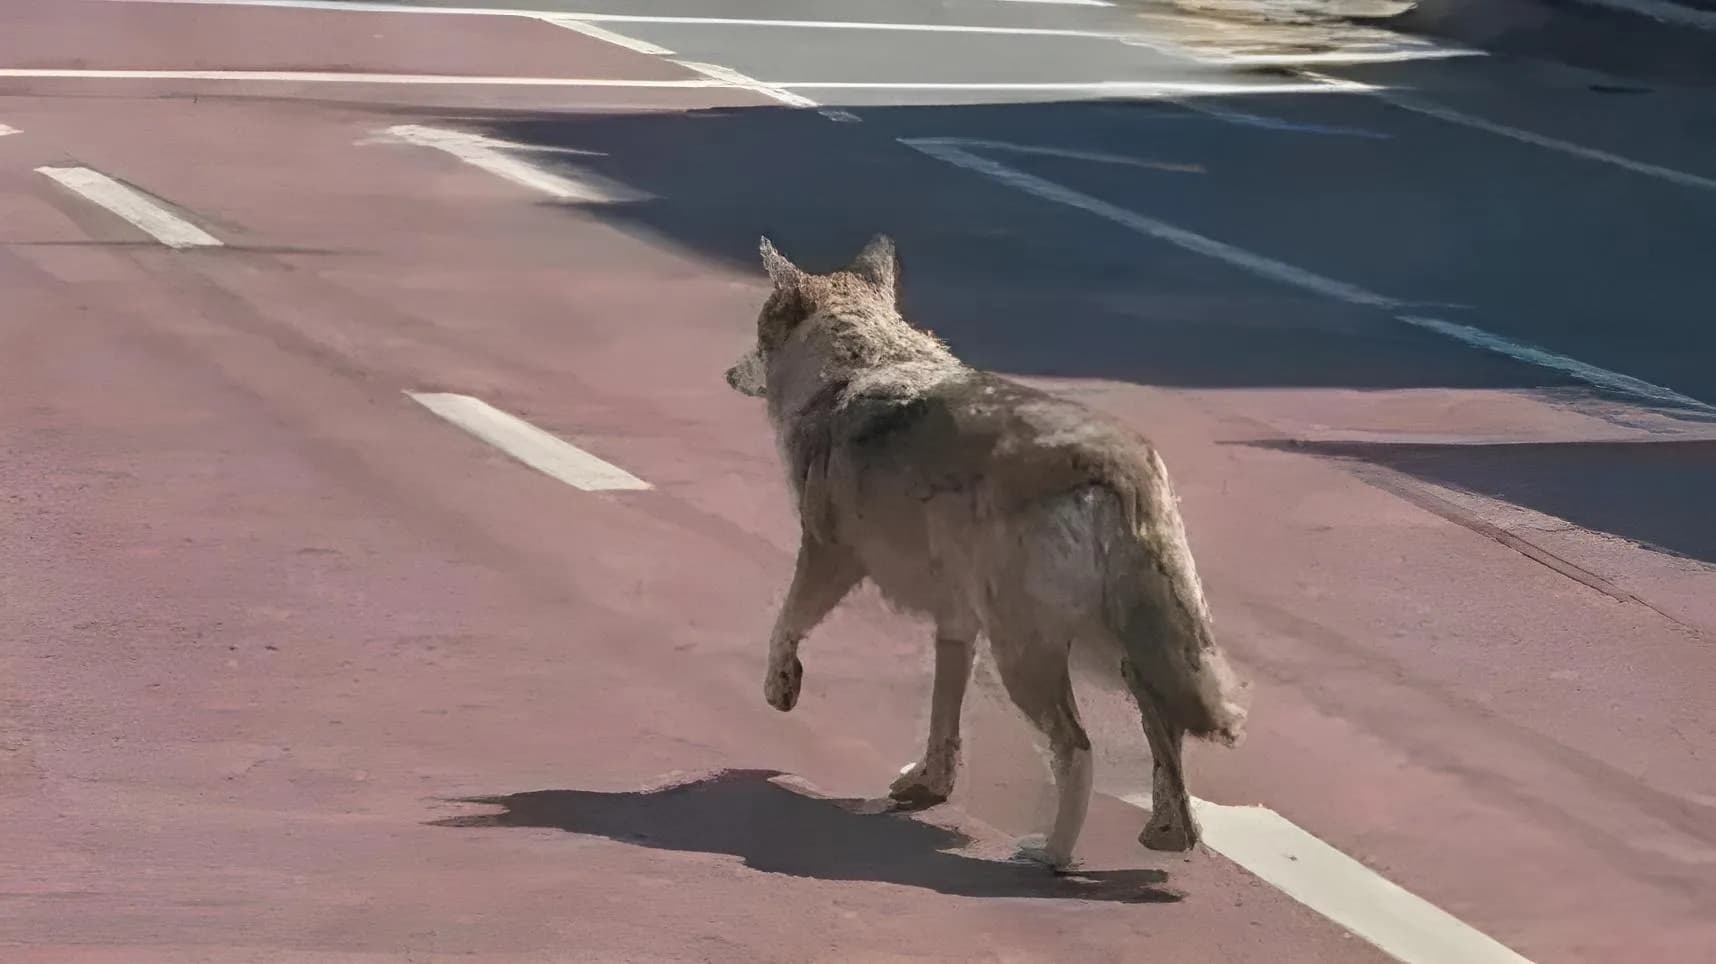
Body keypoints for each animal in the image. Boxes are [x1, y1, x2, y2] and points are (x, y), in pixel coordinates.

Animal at [725, 234, 1248, 869]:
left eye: (757, 336)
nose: (727, 373)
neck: (860, 363)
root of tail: (1121, 461)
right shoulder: (955, 624)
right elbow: (942, 721)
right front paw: (927, 786)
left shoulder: (828, 556)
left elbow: (784, 625)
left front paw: (781, 688)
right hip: (1120, 653)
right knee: (1165, 735)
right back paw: (1167, 836)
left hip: (1028, 656)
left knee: (1078, 750)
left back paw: (1050, 856)